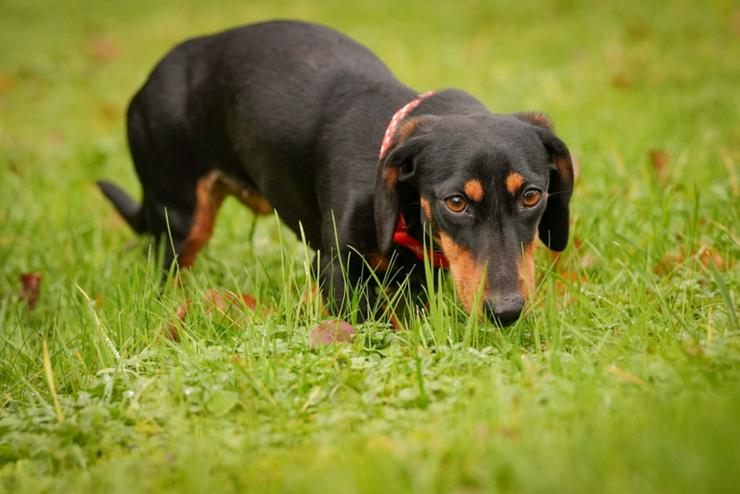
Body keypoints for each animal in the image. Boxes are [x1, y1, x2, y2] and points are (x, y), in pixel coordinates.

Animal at [97, 20, 572, 324]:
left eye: (531, 196)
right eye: (456, 202)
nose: (507, 311)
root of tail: (148, 83)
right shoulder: (337, 272)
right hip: (179, 218)